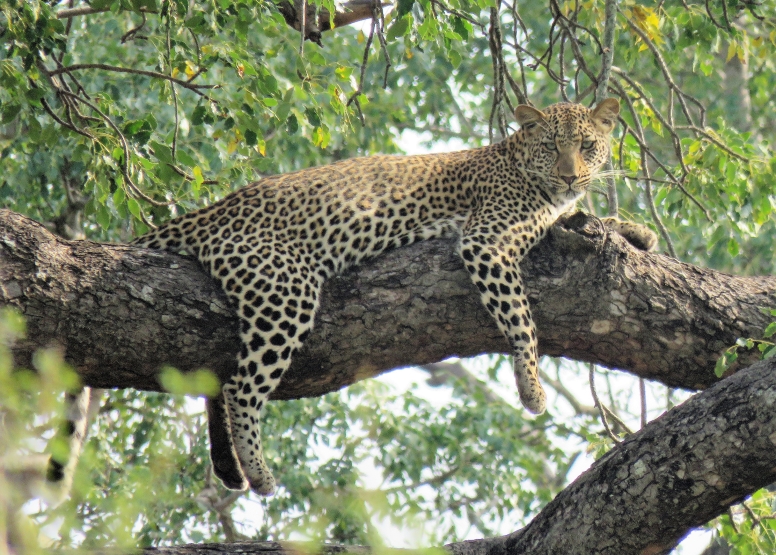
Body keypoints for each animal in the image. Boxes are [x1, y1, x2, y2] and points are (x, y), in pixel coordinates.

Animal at [47, 99, 656, 496]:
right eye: (553, 146)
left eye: (588, 146)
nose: (571, 175)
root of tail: (205, 213)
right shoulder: (485, 239)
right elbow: (522, 319)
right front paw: (531, 388)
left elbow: (592, 219)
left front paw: (638, 231)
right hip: (285, 290)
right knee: (243, 387)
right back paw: (259, 472)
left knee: (221, 381)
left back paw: (228, 468)